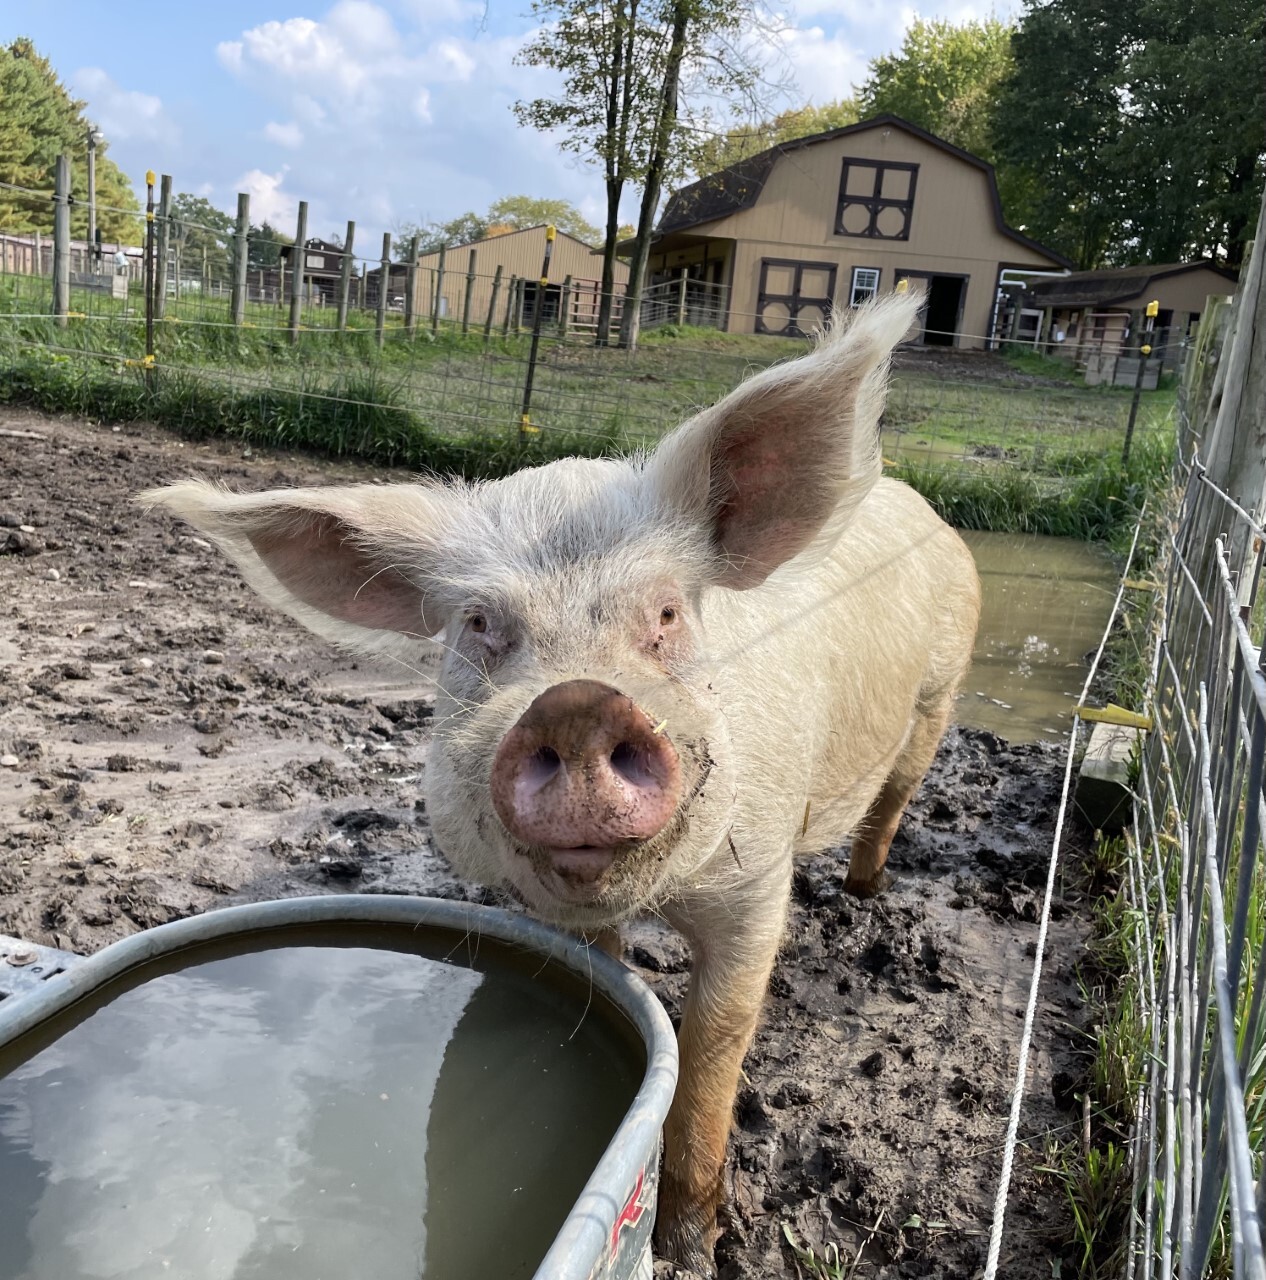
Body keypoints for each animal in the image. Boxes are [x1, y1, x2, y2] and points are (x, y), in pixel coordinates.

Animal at [140, 290, 980, 1276]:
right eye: (478, 623)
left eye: (666, 612)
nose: (576, 703)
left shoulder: (757, 877)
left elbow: (715, 1047)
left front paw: (690, 1252)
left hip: (938, 695)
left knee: (894, 799)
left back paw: (863, 891)